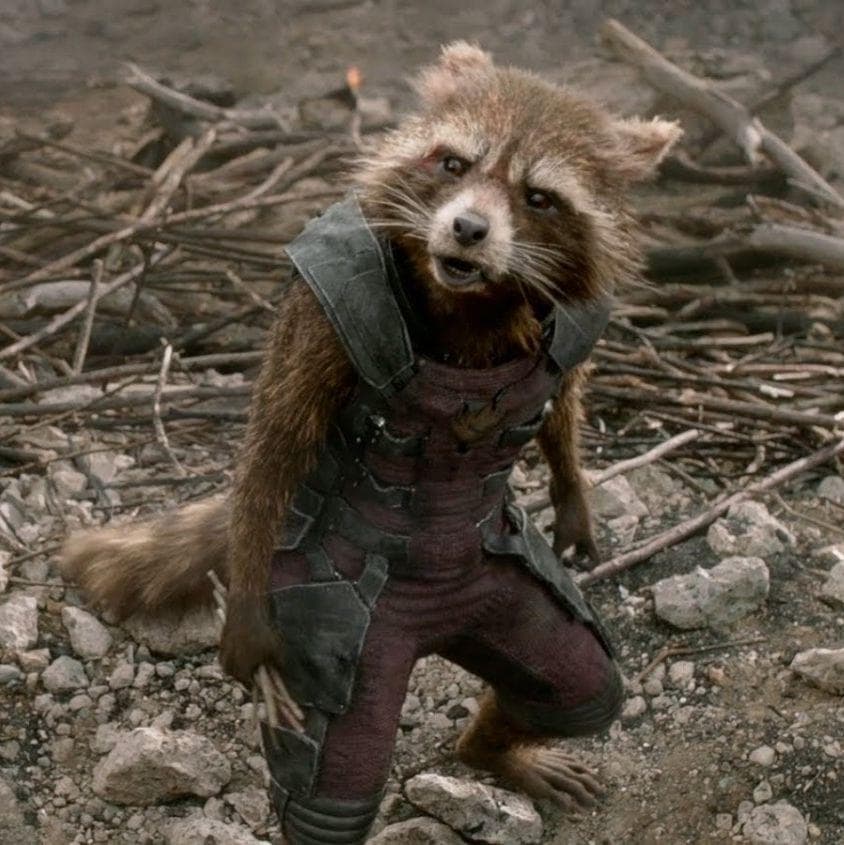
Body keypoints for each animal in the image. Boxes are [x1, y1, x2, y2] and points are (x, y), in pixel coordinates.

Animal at [61, 43, 680, 844]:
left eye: (540, 198)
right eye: (453, 163)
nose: (469, 229)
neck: (474, 301)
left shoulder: (577, 310)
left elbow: (565, 389)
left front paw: (572, 491)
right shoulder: (324, 308)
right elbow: (276, 436)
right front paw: (245, 629)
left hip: (501, 588)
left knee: (579, 684)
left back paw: (488, 747)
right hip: (336, 619)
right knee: (336, 787)